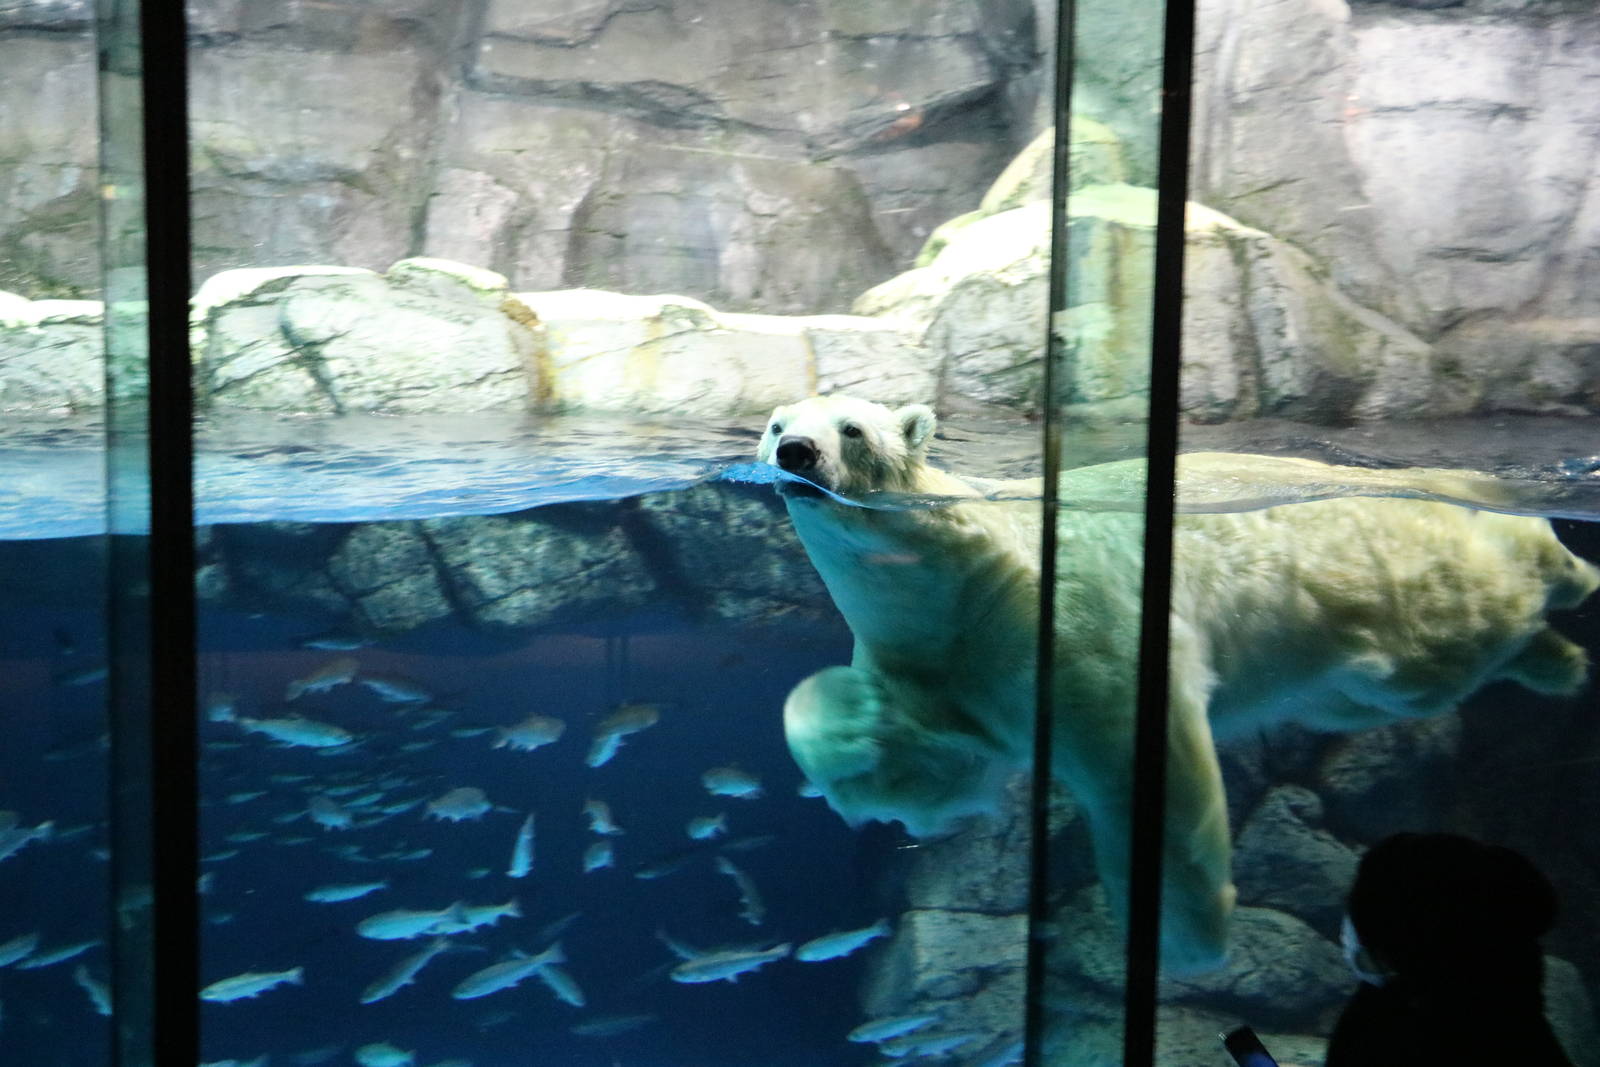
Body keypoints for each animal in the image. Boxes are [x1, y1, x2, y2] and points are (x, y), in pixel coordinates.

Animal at [757, 394, 1599, 973]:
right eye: (774, 423)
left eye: (852, 429)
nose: (796, 451)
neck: (960, 574)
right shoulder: (941, 653)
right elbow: (933, 761)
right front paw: (848, 733)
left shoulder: (1055, 607)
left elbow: (1137, 736)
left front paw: (1184, 932)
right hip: (1353, 664)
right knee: (1404, 677)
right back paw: (1559, 658)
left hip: (1386, 557)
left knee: (1464, 605)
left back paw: (1566, 565)